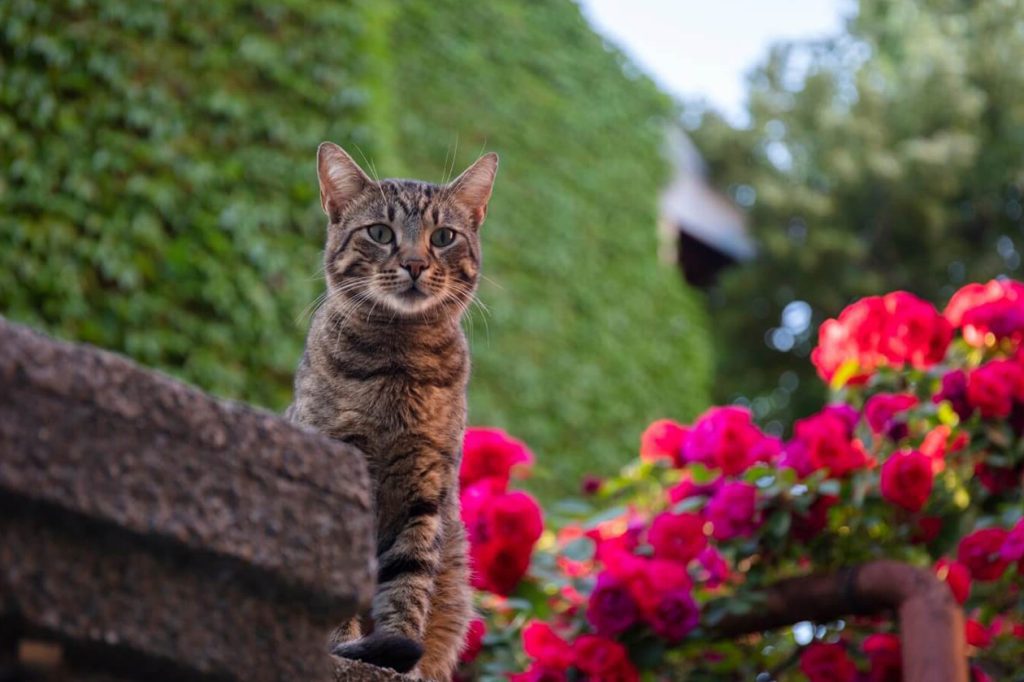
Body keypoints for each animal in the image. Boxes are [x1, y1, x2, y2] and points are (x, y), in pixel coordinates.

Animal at [286, 140, 497, 675]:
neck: (398, 365)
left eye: (443, 237)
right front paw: (341, 644)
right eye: (380, 232)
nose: (416, 263)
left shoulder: (427, 485)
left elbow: (409, 579)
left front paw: (395, 653)